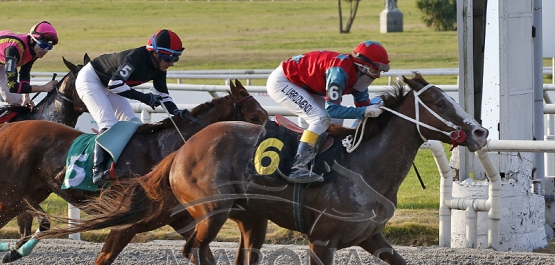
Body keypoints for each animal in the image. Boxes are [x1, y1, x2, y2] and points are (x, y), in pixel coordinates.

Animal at [0, 79, 270, 262]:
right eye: (255, 117)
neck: (164, 152)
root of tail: (7, 129)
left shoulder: (182, 220)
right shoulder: (126, 224)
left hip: (29, 194)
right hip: (10, 197)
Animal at [38, 72, 490, 264]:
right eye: (442, 103)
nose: (481, 131)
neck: (365, 166)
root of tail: (182, 150)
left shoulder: (372, 237)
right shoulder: (321, 240)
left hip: (233, 215)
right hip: (208, 211)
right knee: (191, 249)